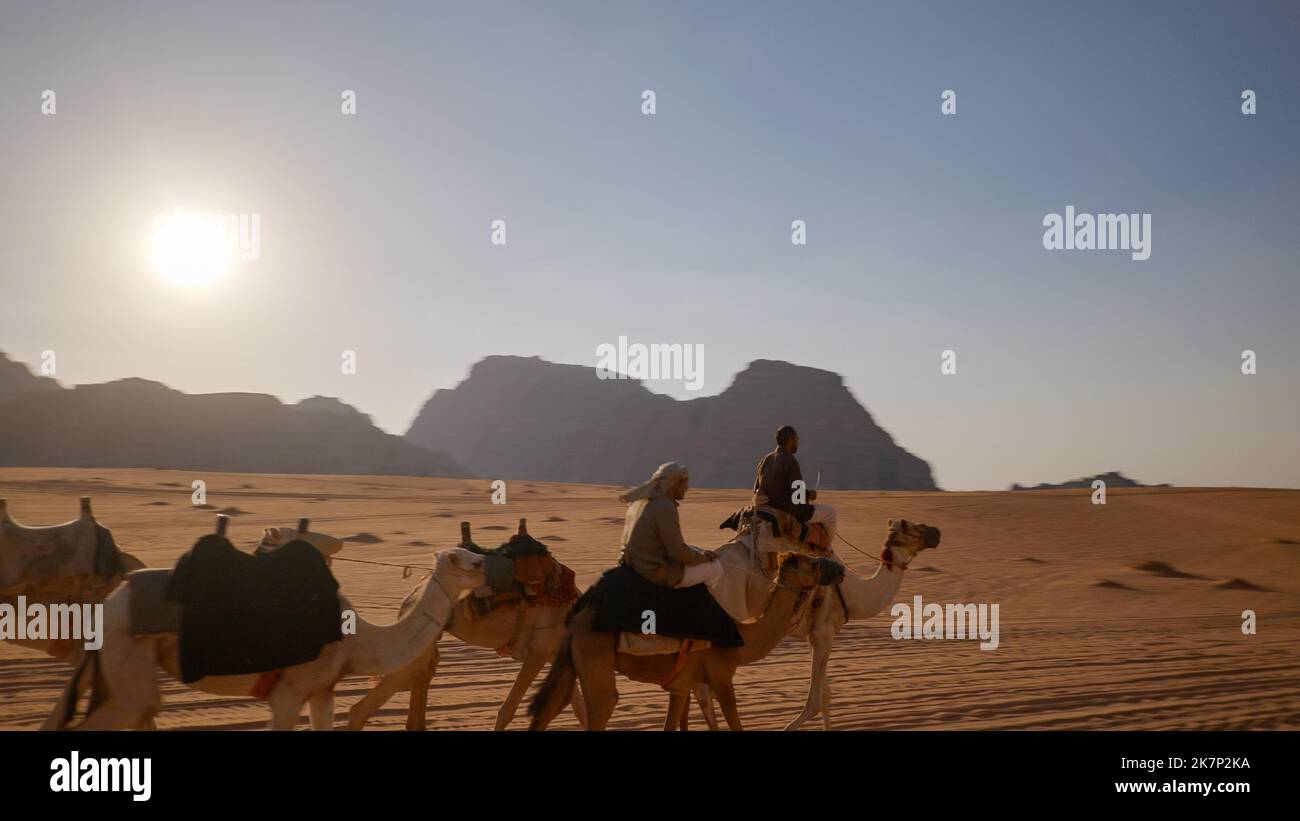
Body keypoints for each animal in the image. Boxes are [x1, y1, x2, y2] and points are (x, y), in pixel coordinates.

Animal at [348, 519, 587, 732]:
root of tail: (413, 594)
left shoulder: (554, 653)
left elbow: (579, 708)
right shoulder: (539, 651)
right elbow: (508, 709)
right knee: (362, 708)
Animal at [525, 550, 842, 732]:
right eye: (811, 561)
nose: (838, 569)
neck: (741, 640)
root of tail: (578, 616)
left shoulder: (681, 685)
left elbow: (676, 724)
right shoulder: (721, 679)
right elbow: (734, 724)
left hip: (570, 661)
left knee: (548, 708)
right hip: (595, 658)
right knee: (602, 704)